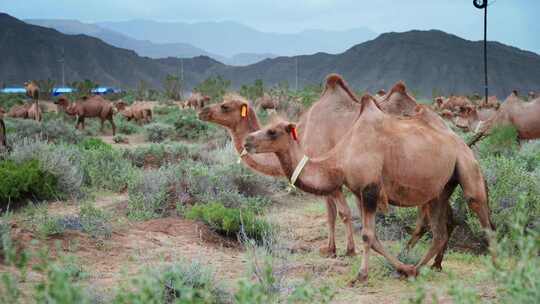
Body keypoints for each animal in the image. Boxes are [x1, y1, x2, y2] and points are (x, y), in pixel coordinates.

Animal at [245, 94, 494, 282]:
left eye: (273, 132)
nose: (247, 141)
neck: (342, 158)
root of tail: (462, 142)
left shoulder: (371, 189)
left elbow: (367, 235)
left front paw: (361, 275)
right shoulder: (359, 192)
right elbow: (372, 237)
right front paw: (402, 267)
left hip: (466, 166)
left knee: (481, 214)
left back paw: (494, 264)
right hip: (439, 190)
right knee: (440, 231)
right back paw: (422, 268)